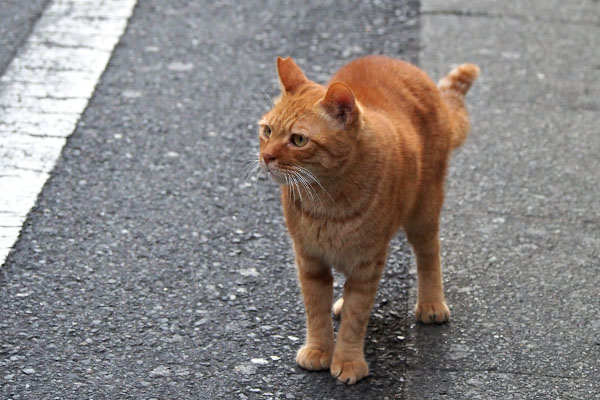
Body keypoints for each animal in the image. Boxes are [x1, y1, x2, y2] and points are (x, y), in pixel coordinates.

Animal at [258, 56, 478, 384]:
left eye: (298, 140)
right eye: (268, 131)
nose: (266, 157)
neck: (327, 200)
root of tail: (396, 62)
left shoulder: (367, 263)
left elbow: (356, 316)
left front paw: (348, 361)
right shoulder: (309, 260)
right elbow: (316, 311)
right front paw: (319, 350)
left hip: (424, 213)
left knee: (429, 254)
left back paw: (431, 303)